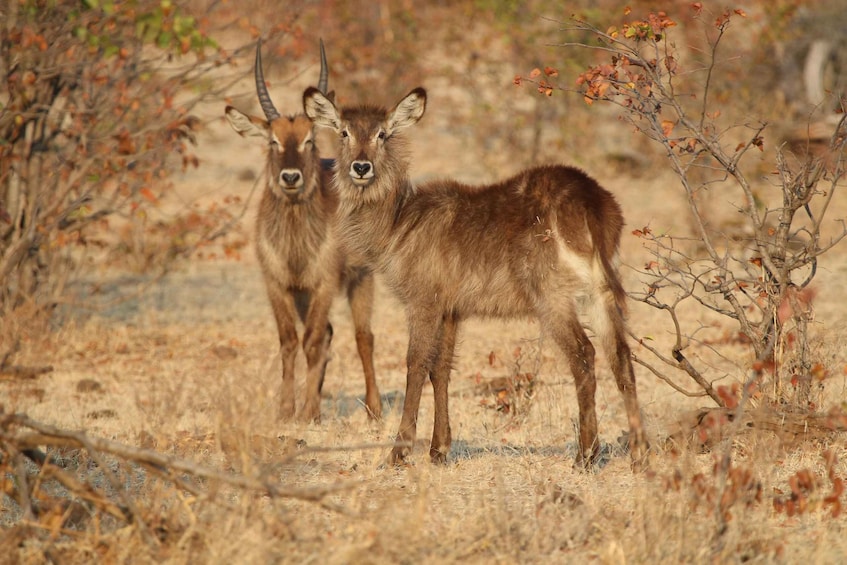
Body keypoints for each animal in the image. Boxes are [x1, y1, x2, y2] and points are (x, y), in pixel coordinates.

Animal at [227, 41, 382, 420]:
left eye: (310, 139)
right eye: (273, 141)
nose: (291, 177)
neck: (295, 244)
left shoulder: (324, 283)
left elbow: (311, 341)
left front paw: (308, 410)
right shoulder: (279, 284)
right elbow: (288, 341)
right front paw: (286, 409)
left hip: (361, 278)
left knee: (362, 336)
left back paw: (373, 408)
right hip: (304, 295)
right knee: (328, 333)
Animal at [304, 82, 648, 462]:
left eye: (383, 133)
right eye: (344, 132)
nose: (361, 167)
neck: (398, 223)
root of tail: (593, 202)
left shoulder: (423, 301)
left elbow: (415, 365)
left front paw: (399, 452)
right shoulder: (451, 309)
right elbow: (441, 370)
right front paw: (439, 449)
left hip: (553, 298)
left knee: (584, 356)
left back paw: (585, 455)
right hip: (599, 293)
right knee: (621, 357)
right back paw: (639, 452)